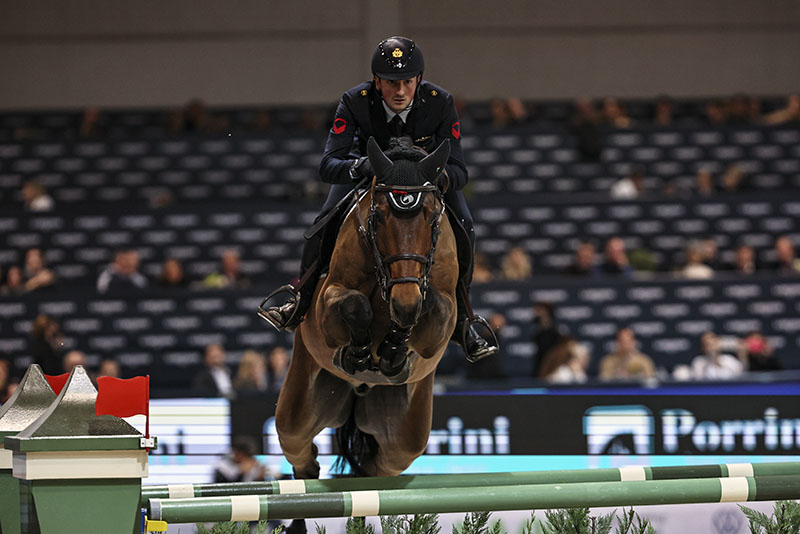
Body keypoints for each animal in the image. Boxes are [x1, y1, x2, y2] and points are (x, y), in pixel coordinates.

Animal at [276, 136, 460, 480]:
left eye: (432, 219)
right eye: (378, 217)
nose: (403, 302)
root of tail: (359, 391)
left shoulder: (441, 325)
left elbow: (429, 306)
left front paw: (393, 349)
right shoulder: (326, 304)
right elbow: (355, 304)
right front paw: (360, 354)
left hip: (405, 435)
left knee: (381, 465)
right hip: (299, 404)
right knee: (299, 448)